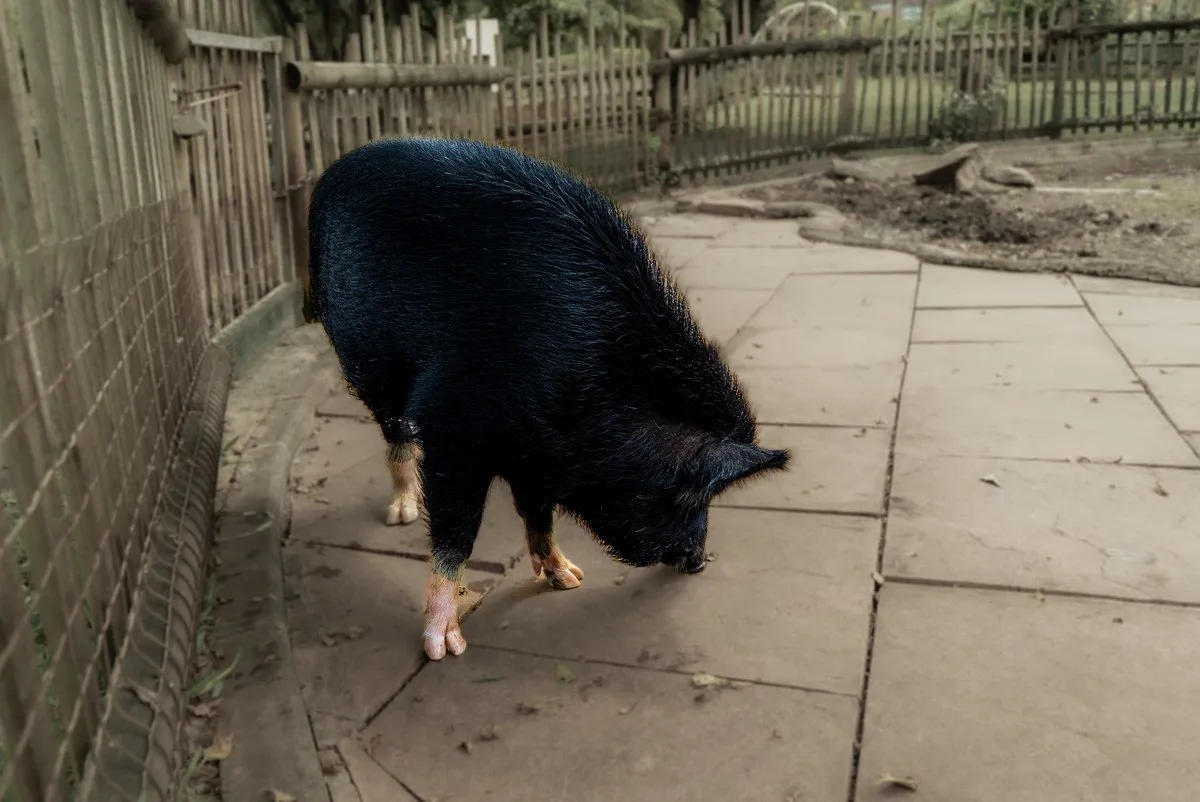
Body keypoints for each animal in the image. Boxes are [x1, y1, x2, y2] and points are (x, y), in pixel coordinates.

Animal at [305, 137, 789, 661]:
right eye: (690, 494)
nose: (699, 563)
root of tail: (338, 168)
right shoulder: (455, 427)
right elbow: (457, 530)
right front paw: (444, 647)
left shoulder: (536, 446)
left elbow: (537, 509)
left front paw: (570, 579)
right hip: (365, 359)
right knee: (393, 429)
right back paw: (400, 515)